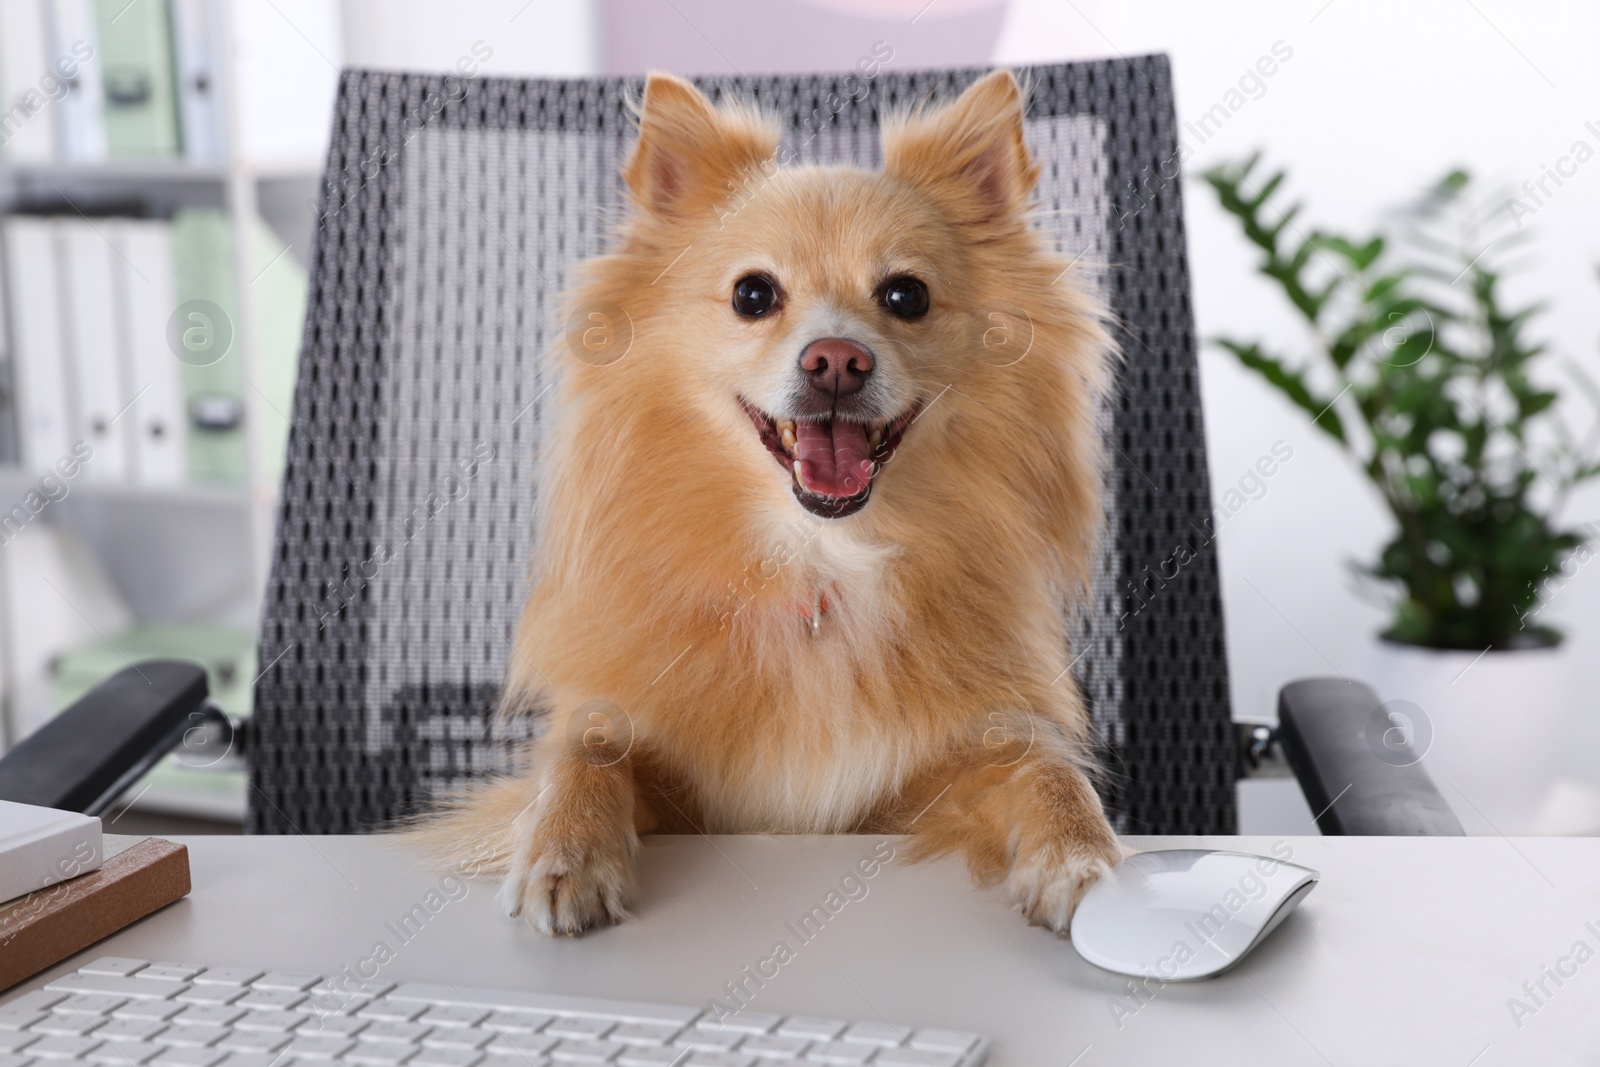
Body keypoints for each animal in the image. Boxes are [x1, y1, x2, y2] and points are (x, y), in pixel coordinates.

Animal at [425, 68, 1126, 934]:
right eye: (753, 295)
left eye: (907, 296)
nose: (836, 359)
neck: (817, 563)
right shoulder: (661, 767)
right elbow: (586, 751)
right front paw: (565, 852)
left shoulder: (936, 776)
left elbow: (1045, 765)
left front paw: (1079, 854)